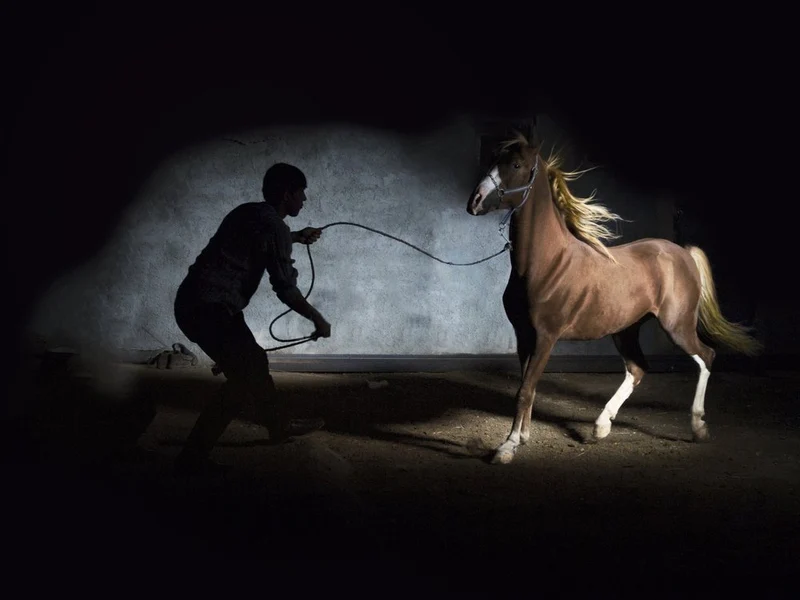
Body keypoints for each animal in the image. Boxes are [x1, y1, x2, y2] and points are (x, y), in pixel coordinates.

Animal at [466, 130, 763, 465]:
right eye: (492, 159)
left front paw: (509, 446)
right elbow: (525, 386)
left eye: (516, 164)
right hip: (626, 330)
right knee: (638, 369)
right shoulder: (523, 336)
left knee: (706, 356)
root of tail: (683, 253)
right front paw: (522, 437)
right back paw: (601, 426)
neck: (545, 264)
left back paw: (698, 427)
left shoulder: (545, 337)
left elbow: (525, 390)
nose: (474, 201)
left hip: (677, 326)